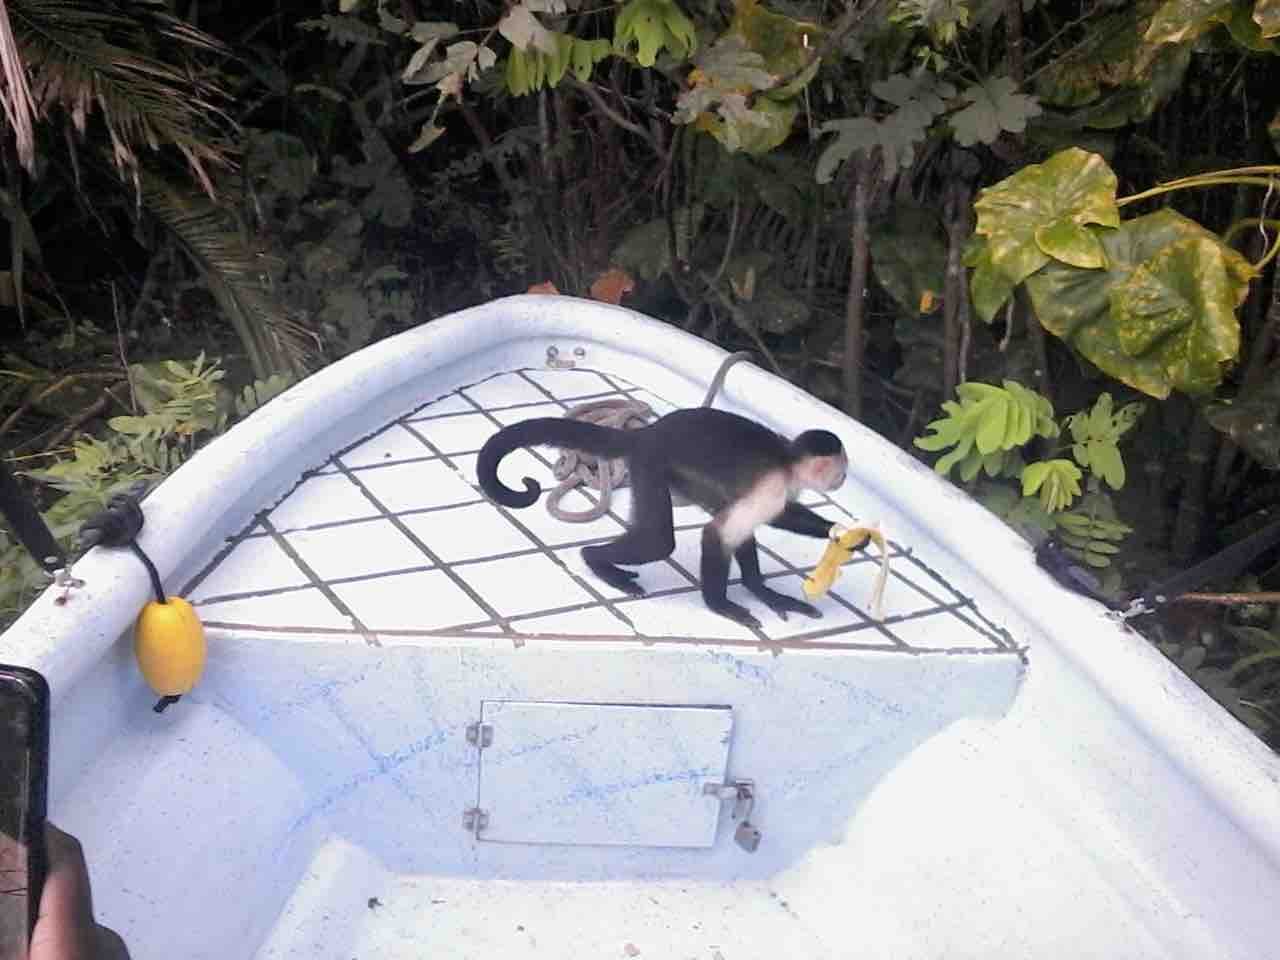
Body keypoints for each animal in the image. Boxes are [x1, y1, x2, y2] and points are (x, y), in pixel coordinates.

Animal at [477, 407, 849, 628]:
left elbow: (771, 520)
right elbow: (718, 533)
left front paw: (839, 534)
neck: (787, 461)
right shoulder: (771, 487)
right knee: (658, 541)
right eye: (842, 470)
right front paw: (720, 605)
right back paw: (596, 560)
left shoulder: (781, 492)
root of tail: (646, 432)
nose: (843, 479)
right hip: (650, 462)